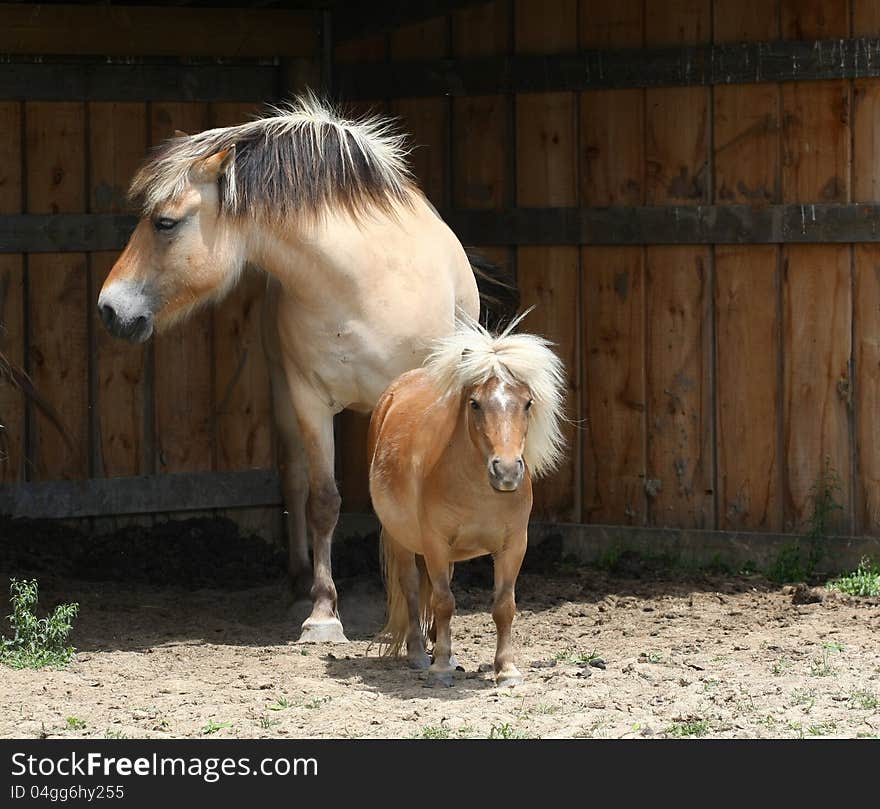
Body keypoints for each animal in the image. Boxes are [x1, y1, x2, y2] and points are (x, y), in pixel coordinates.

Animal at [95, 94, 512, 640]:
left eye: (165, 222)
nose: (109, 309)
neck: (360, 283)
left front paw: (420, 615)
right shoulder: (310, 399)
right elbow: (323, 502)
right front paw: (323, 614)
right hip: (284, 397)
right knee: (294, 479)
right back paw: (298, 585)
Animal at [368, 312, 568, 684]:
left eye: (527, 403)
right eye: (475, 404)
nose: (506, 471)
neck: (478, 492)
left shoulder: (513, 545)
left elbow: (504, 606)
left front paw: (506, 670)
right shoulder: (434, 542)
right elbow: (444, 601)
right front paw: (441, 667)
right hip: (402, 540)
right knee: (413, 589)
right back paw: (420, 654)